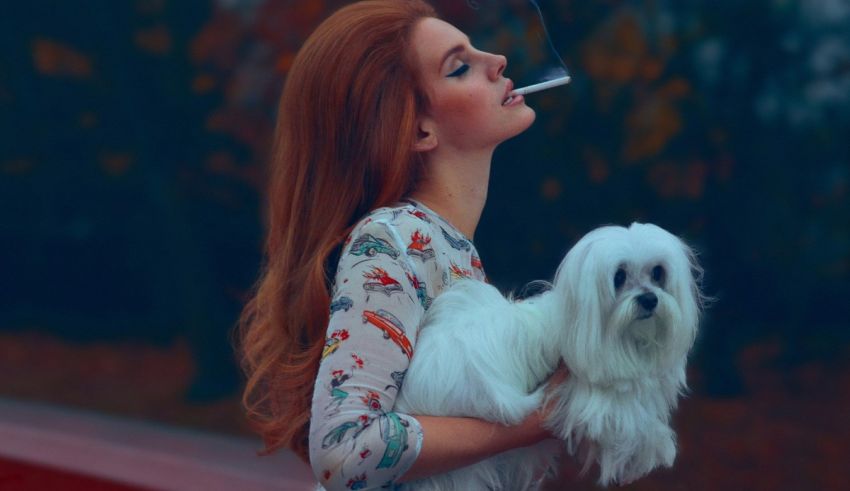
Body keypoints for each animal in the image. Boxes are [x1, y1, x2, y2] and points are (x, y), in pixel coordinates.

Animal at [394, 223, 700, 488]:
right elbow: (629, 423)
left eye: (658, 272)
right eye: (619, 277)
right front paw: (657, 447)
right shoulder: (594, 400)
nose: (649, 299)